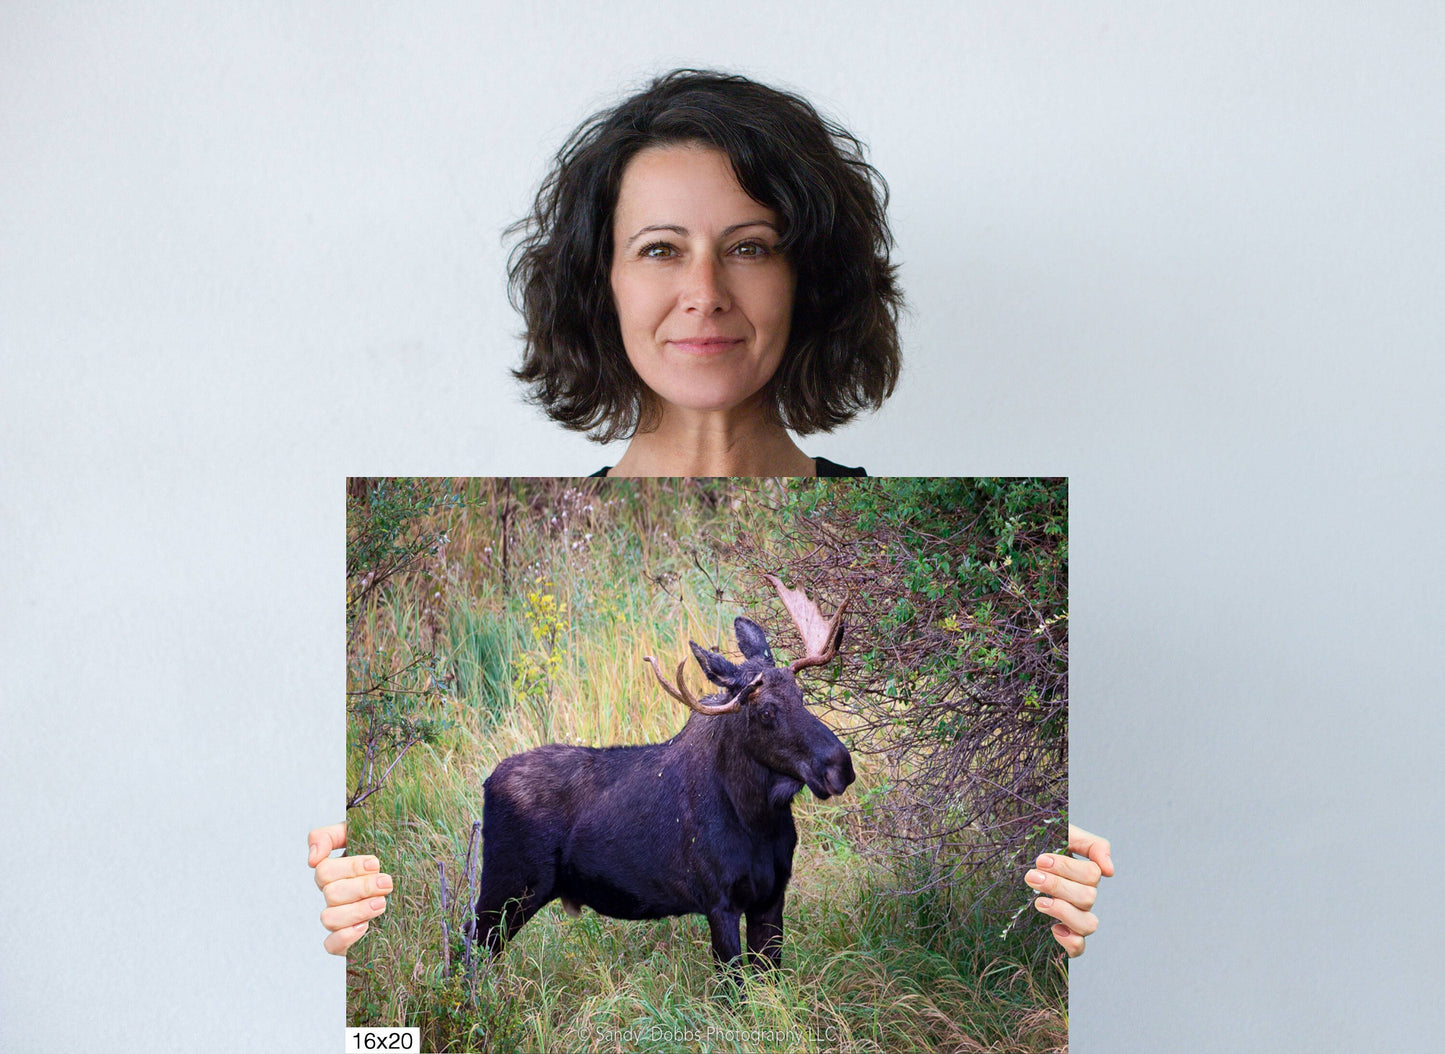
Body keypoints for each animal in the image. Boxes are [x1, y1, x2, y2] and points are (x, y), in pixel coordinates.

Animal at [462, 575, 849, 971]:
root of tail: (487, 783)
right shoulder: (719, 903)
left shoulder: (771, 898)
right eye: (766, 712)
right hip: (507, 890)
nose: (840, 766)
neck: (757, 818)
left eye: (801, 696)